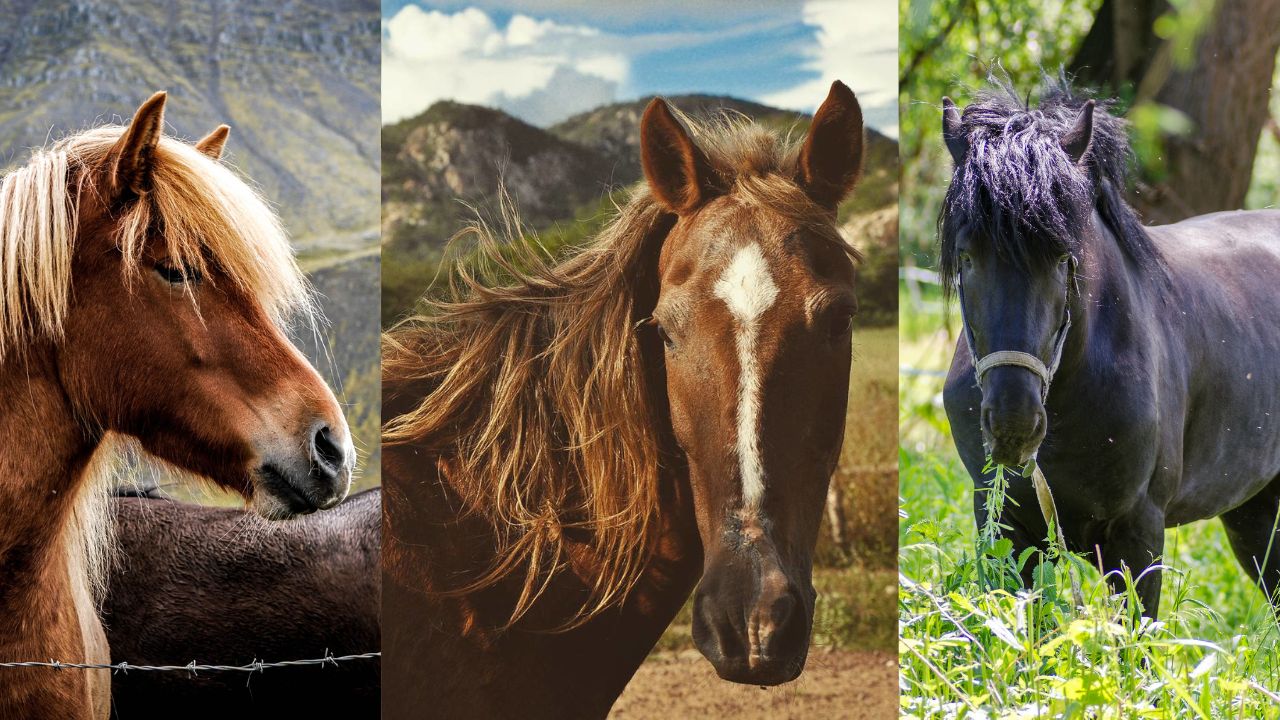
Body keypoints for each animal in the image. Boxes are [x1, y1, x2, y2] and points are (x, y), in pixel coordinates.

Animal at [942, 78, 1280, 617]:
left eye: (1064, 257)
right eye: (967, 256)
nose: (1014, 423)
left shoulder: (1137, 535)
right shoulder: (1007, 529)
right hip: (1255, 511)